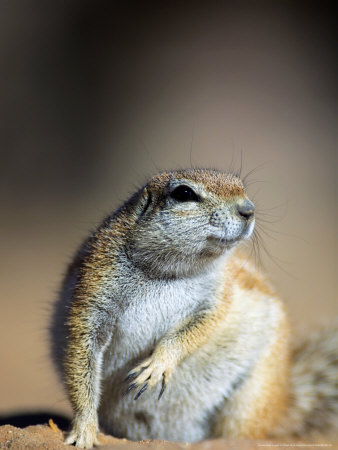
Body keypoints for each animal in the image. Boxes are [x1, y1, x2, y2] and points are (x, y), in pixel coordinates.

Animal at [50, 168, 338, 446]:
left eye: (240, 185)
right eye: (184, 193)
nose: (248, 209)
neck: (168, 274)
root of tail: (284, 401)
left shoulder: (218, 297)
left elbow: (197, 330)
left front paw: (158, 364)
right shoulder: (94, 288)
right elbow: (82, 355)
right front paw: (84, 430)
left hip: (251, 399)